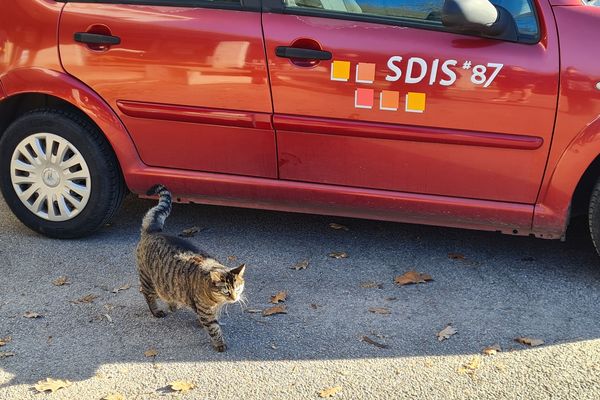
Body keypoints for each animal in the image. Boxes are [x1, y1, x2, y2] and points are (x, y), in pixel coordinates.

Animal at [137, 184, 246, 350]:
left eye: (238, 289)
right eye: (226, 291)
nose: (234, 298)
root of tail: (153, 231)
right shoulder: (204, 310)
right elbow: (213, 328)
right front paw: (220, 343)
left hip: (167, 285)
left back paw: (174, 305)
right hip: (149, 281)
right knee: (148, 295)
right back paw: (156, 311)